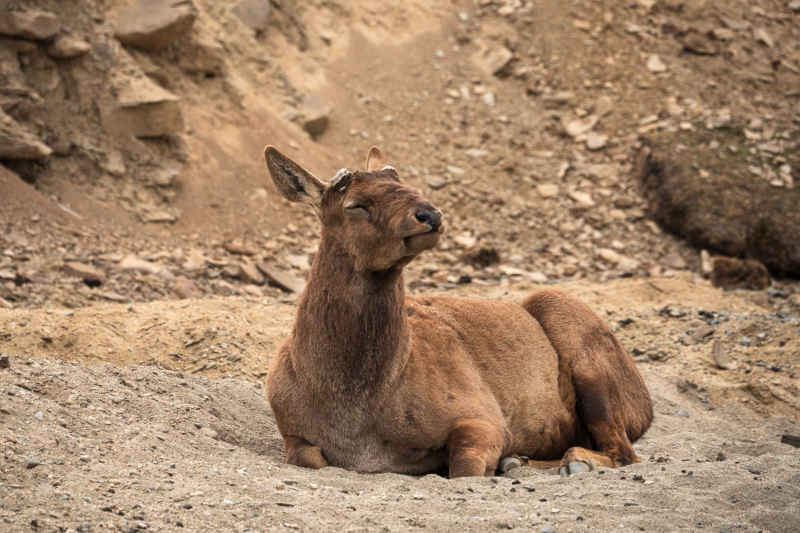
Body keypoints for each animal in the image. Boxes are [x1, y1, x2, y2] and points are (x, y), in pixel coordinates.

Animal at [266, 145, 652, 478]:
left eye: (408, 184)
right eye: (355, 204)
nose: (430, 214)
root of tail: (644, 408)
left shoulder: (483, 416)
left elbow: (465, 468)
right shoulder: (293, 432)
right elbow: (308, 457)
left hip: (582, 349)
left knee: (625, 452)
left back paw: (570, 462)